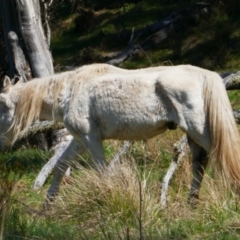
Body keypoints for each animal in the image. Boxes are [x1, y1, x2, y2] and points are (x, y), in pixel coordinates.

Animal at [0, 63, 240, 204]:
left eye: (1, 106)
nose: (2, 143)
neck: (71, 90)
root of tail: (203, 75)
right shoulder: (79, 140)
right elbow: (60, 167)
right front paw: (47, 206)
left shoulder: (90, 139)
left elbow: (102, 171)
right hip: (193, 134)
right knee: (199, 164)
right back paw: (192, 202)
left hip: (198, 131)